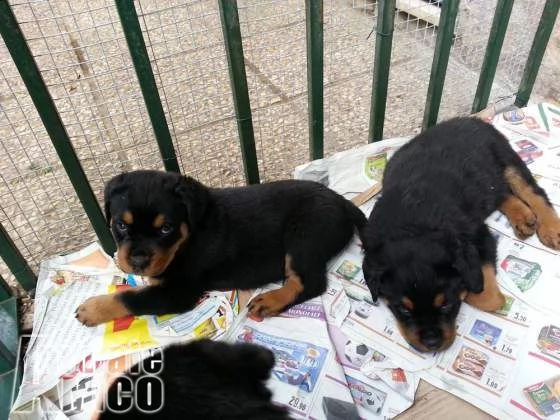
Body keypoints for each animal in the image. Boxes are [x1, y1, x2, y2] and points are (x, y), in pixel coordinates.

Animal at [74, 171, 366, 324]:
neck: (186, 238)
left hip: (303, 236)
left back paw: (271, 300)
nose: (137, 262)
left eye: (166, 228)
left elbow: (131, 298)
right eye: (121, 225)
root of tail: (341, 202)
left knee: (310, 282)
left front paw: (92, 308)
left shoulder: (178, 292)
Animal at [364, 116, 560, 352]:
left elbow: (487, 296)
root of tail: (472, 119)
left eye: (446, 304)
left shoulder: (480, 236)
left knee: (532, 191)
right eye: (403, 309)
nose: (432, 343)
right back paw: (524, 216)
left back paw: (551, 228)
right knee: (499, 191)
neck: (412, 227)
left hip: (507, 159)